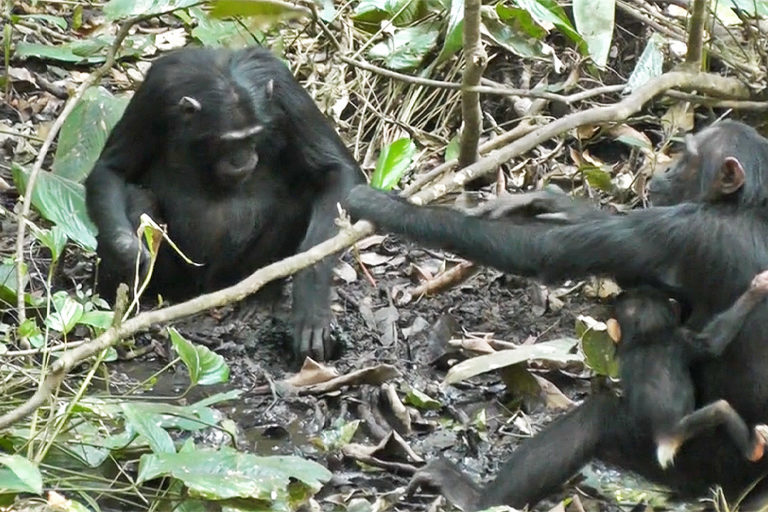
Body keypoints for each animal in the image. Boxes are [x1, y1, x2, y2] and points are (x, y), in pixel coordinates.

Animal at [85, 48, 362, 360]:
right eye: (226, 142)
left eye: (254, 136)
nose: (242, 159)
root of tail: (206, 290)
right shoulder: (154, 92)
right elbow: (113, 169)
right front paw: (125, 253)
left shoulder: (286, 90)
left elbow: (337, 171)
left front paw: (311, 302)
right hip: (178, 281)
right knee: (137, 197)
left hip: (233, 277)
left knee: (300, 200)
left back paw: (261, 298)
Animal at [612, 280, 768, 472]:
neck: (646, 335)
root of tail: (665, 440)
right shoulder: (682, 338)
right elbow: (712, 343)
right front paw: (758, 288)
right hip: (685, 428)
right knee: (720, 409)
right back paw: (753, 448)